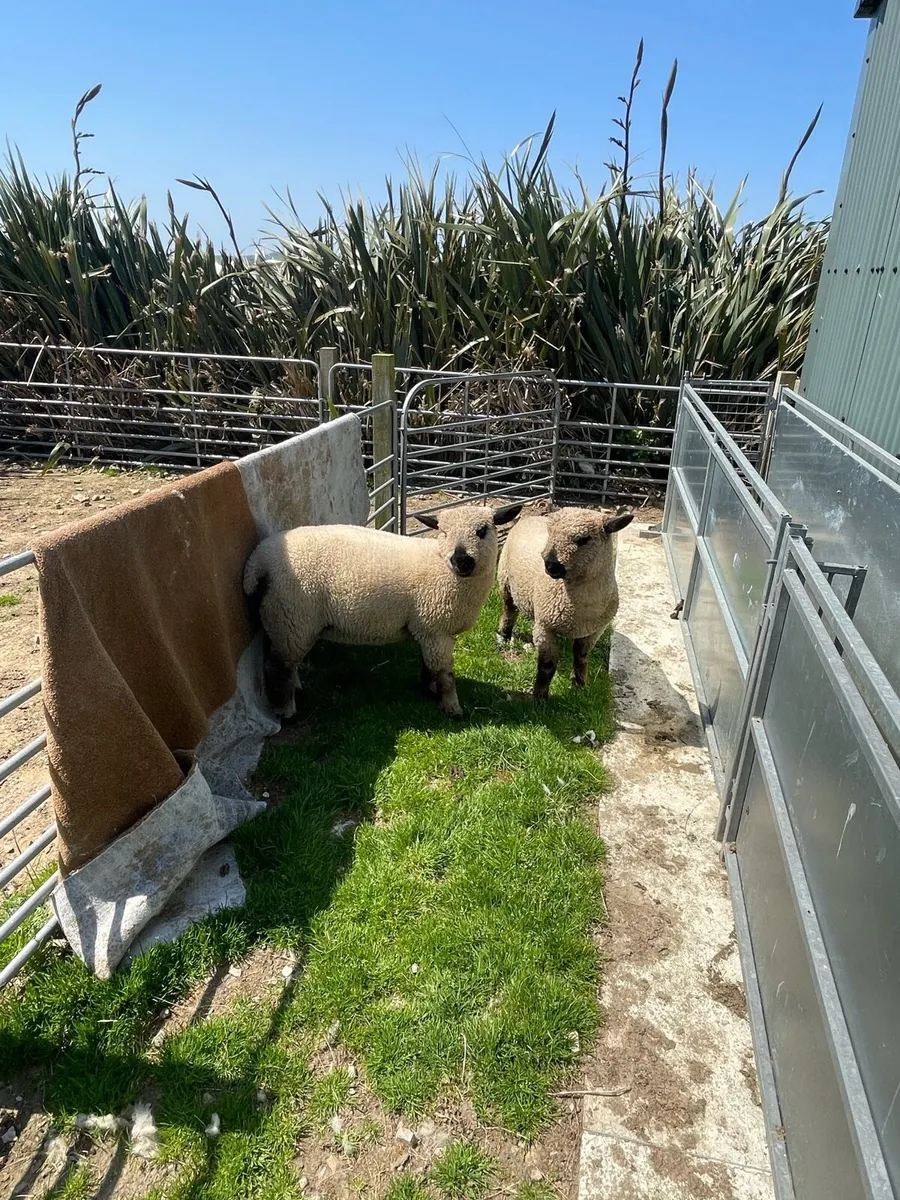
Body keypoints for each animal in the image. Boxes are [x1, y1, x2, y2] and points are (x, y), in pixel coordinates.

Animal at [243, 502, 523, 718]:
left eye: (482, 531)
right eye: (443, 532)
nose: (461, 560)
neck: (440, 566)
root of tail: (258, 561)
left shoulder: (427, 630)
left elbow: (428, 667)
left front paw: (429, 690)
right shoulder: (436, 630)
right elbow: (446, 674)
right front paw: (452, 708)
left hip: (284, 620)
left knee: (284, 661)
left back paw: (296, 687)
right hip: (293, 617)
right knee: (277, 667)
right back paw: (285, 711)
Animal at [496, 504, 634, 699]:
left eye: (584, 539)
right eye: (551, 533)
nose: (550, 565)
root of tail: (530, 517)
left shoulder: (594, 631)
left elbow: (581, 657)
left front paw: (580, 685)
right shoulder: (546, 628)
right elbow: (547, 665)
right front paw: (539, 697)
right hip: (505, 580)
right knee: (509, 610)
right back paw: (503, 636)